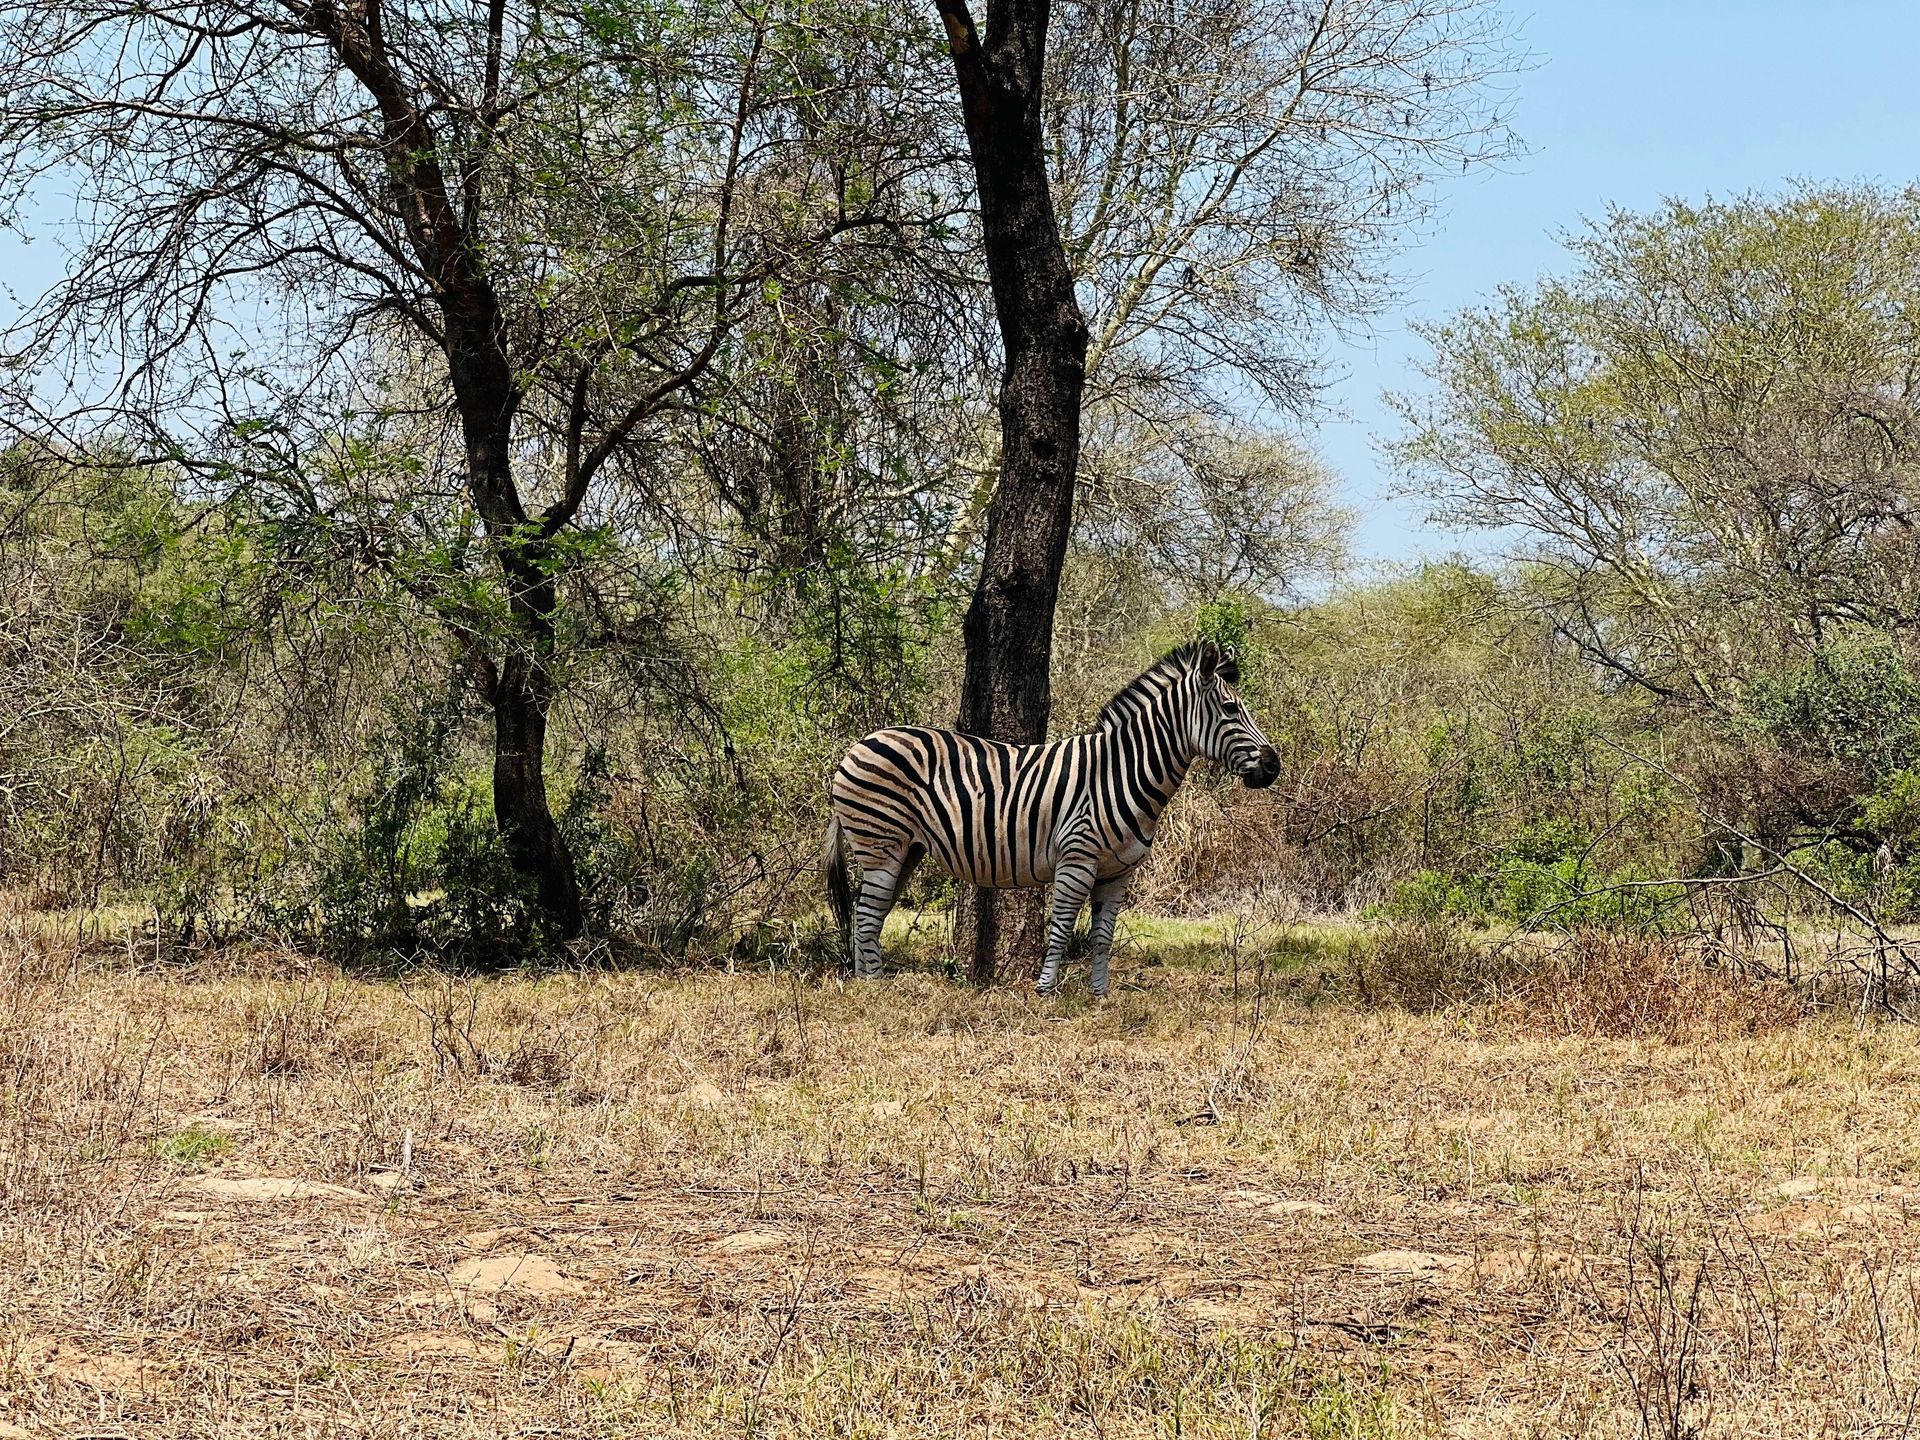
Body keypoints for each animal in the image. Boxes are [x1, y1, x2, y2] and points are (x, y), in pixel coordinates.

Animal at [822, 641, 1280, 995]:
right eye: (1230, 708)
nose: (1274, 766)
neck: (1123, 770)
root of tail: (860, 743)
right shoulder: (1076, 859)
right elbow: (1060, 927)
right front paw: (1046, 991)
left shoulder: (1118, 873)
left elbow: (1102, 938)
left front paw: (1100, 995)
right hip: (880, 843)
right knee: (866, 914)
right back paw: (874, 986)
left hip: (905, 850)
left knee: (869, 913)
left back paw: (866, 980)